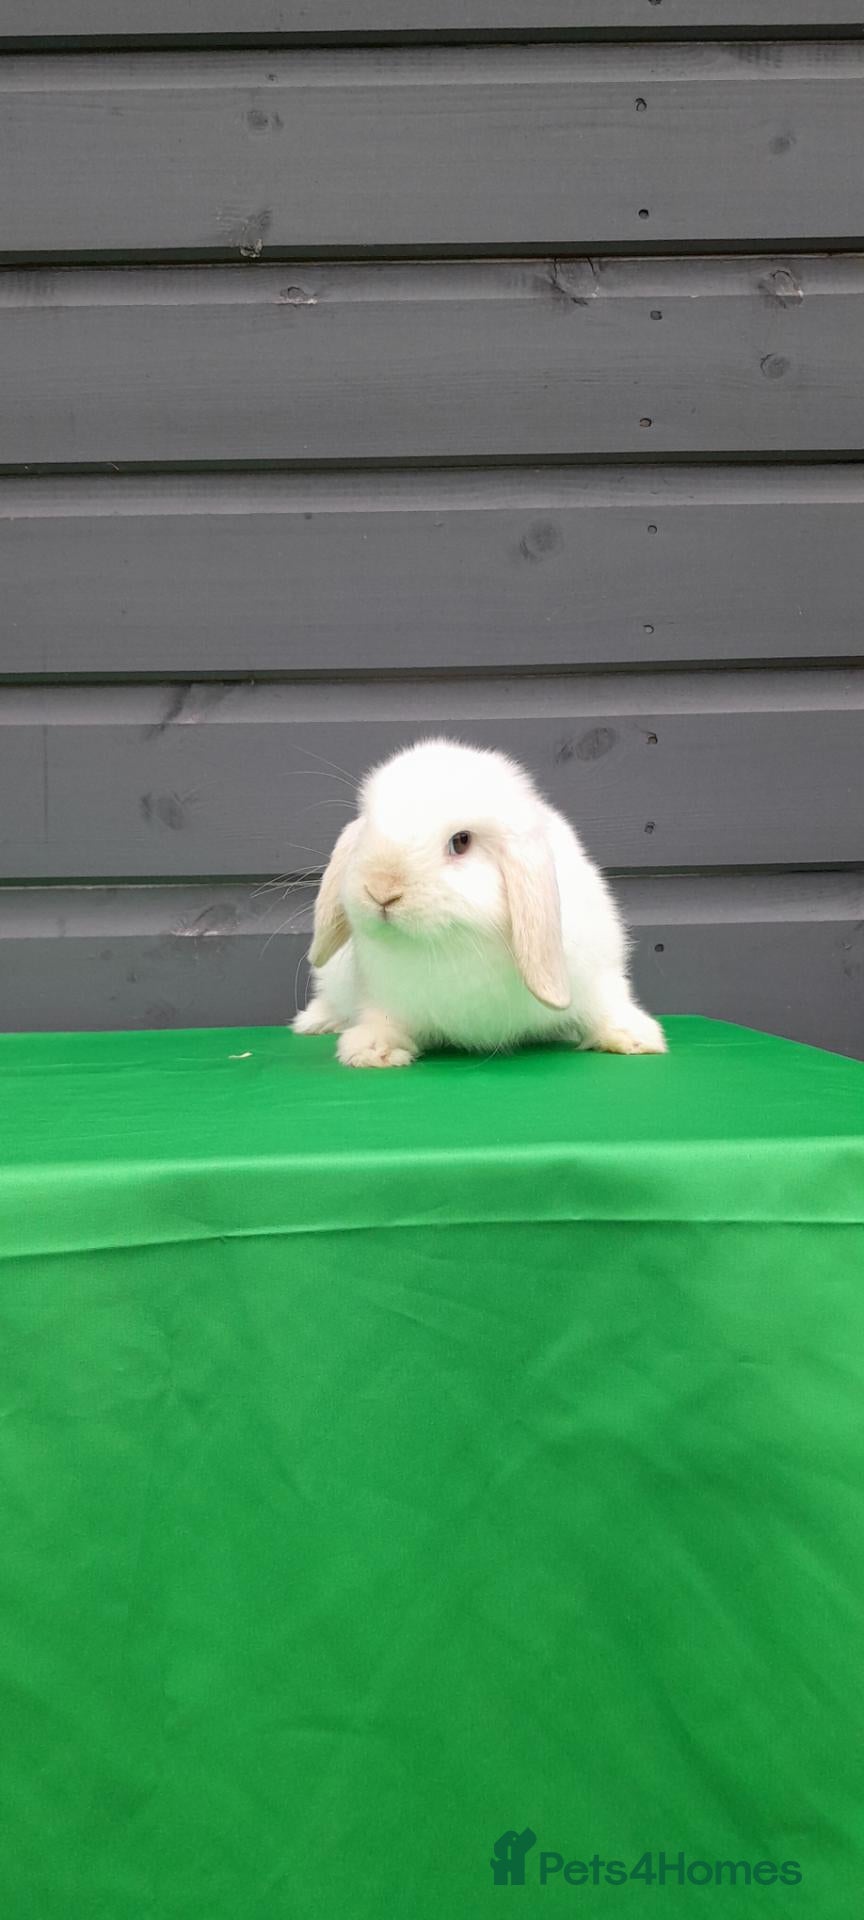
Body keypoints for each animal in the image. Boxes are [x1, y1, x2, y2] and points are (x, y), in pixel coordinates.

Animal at [292, 737, 666, 1068]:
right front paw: (372, 1051)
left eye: (461, 841)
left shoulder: (598, 975)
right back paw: (314, 1021)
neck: (453, 944)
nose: (381, 890)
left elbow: (607, 1006)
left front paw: (636, 1039)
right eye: (368, 828)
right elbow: (381, 1021)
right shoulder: (383, 997)